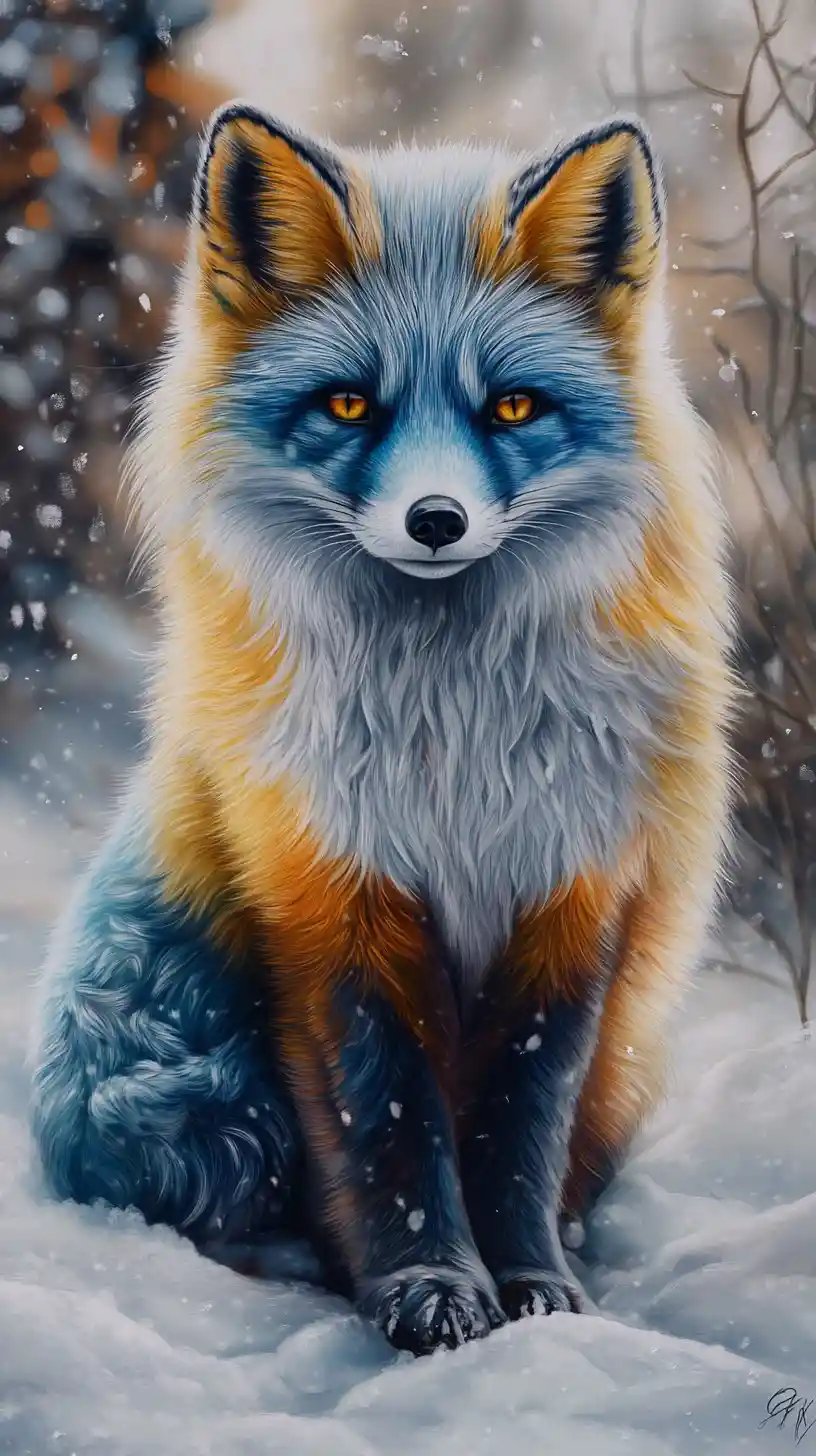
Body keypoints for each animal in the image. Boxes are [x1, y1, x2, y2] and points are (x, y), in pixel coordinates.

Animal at [29, 102, 733, 1356]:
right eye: (351, 404)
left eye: (512, 407)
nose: (437, 519)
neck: (450, 740)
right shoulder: (327, 891)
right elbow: (389, 1124)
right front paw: (428, 1289)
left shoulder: (573, 897)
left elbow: (520, 1124)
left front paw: (533, 1287)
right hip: (178, 1069)